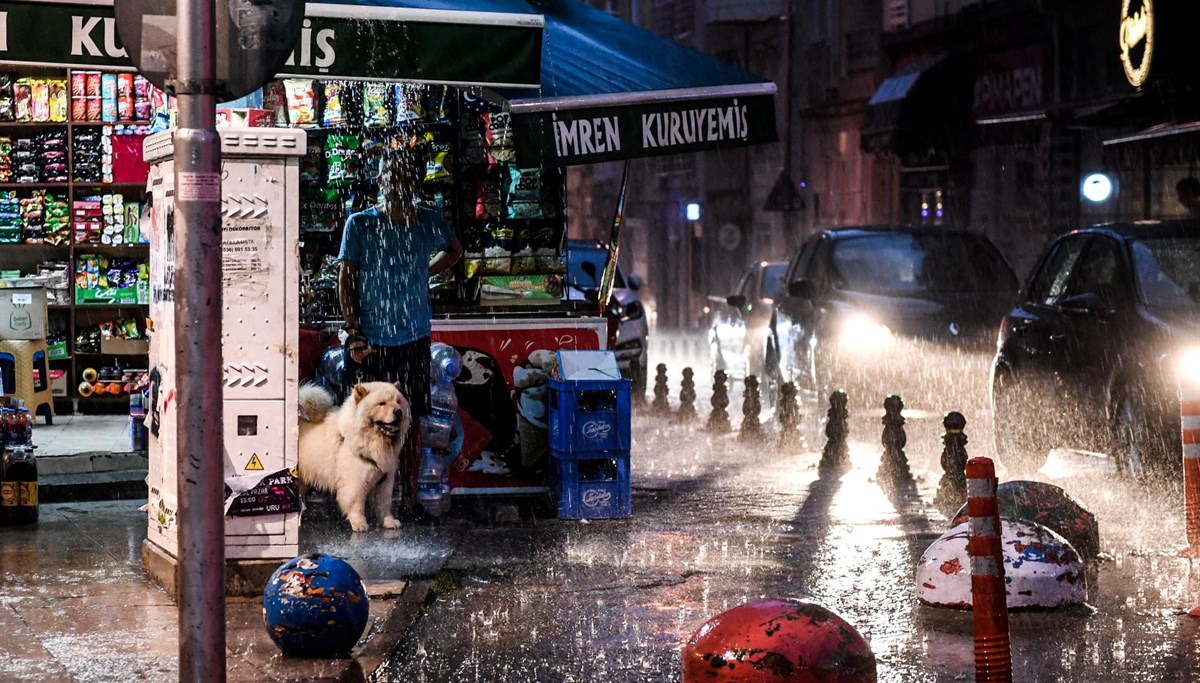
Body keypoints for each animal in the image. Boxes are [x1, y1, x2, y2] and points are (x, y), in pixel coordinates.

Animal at [297, 381, 410, 530]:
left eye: (398, 402)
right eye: (382, 403)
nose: (399, 412)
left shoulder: (385, 481)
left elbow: (384, 504)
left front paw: (389, 522)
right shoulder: (355, 481)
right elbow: (356, 504)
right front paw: (359, 524)